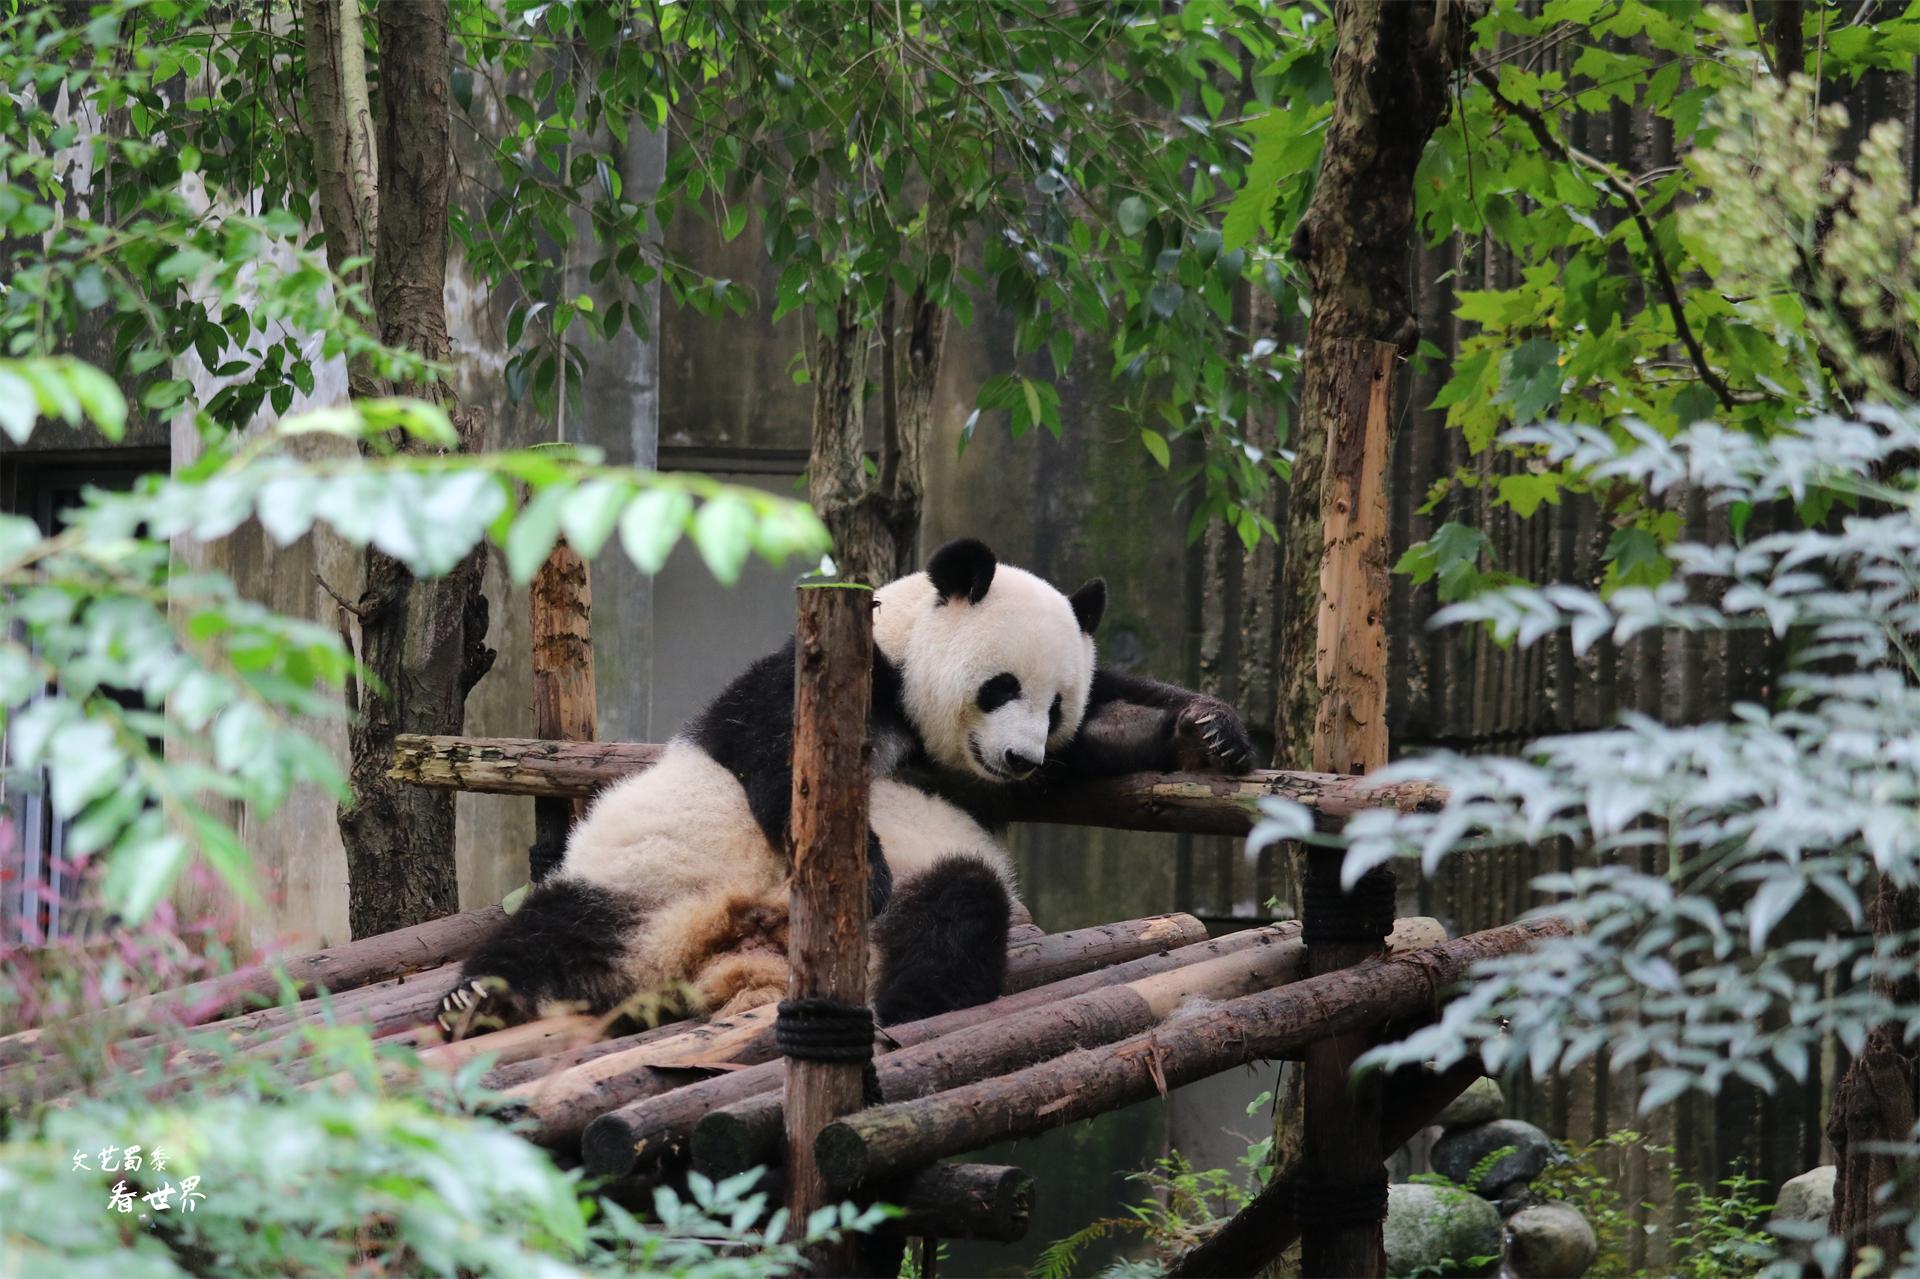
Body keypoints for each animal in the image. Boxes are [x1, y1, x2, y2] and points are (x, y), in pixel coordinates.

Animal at [439, 537, 1259, 1037]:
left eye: (1055, 705)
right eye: (1000, 686)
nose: (1023, 757)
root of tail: (736, 945)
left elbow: (1108, 727)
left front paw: (1210, 734)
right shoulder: (817, 677)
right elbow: (773, 757)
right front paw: (863, 869)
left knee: (957, 908)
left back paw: (911, 1001)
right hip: (643, 882)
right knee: (552, 930)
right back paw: (475, 998)